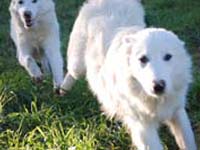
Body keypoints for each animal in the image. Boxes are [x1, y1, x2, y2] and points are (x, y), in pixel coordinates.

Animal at [60, 0, 196, 149]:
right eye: (143, 59)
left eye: (168, 57)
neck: (154, 99)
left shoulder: (177, 111)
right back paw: (62, 90)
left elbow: (188, 141)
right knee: (71, 73)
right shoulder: (143, 127)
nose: (158, 86)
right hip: (77, 64)